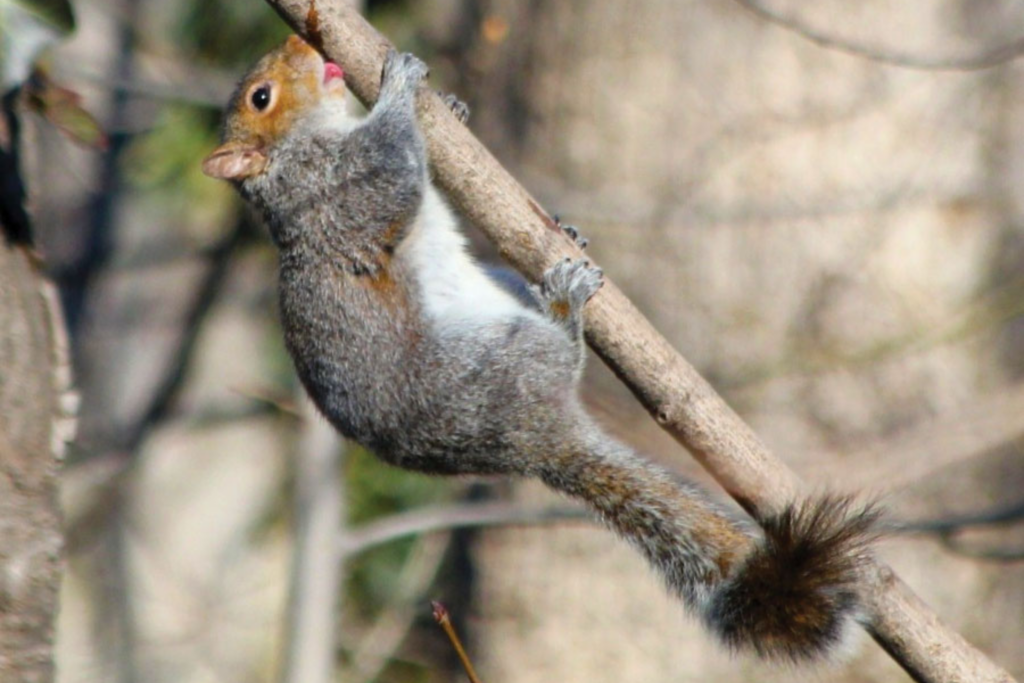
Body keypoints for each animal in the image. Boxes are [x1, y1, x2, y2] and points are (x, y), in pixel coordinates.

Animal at [202, 35, 877, 663]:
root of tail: (533, 438)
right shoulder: (342, 187)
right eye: (261, 97)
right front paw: (400, 86)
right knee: (561, 356)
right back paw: (566, 310)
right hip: (497, 356)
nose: (300, 40)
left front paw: (450, 105)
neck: (298, 154)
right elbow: (392, 164)